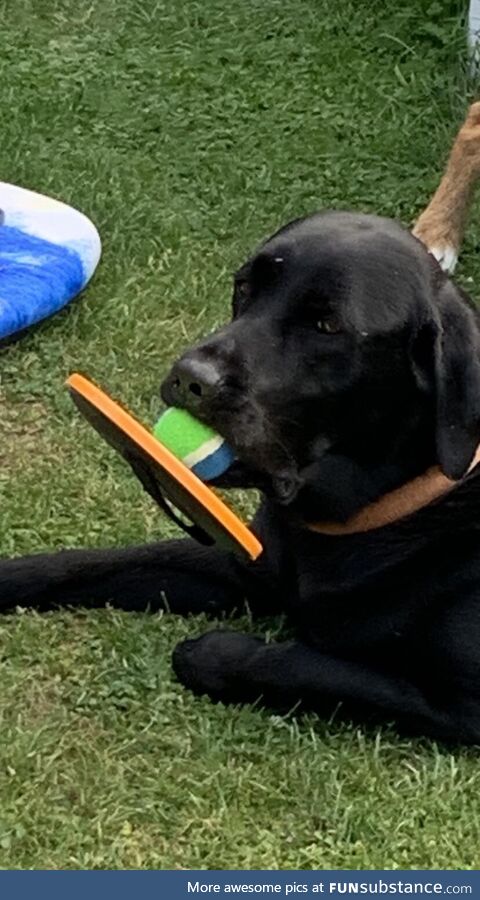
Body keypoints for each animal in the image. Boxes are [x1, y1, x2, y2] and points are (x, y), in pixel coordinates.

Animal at [2, 207, 480, 740]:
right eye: (244, 287)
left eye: (327, 324)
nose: (192, 378)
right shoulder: (249, 564)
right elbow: (81, 564)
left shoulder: (460, 703)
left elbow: (288, 662)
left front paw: (207, 648)